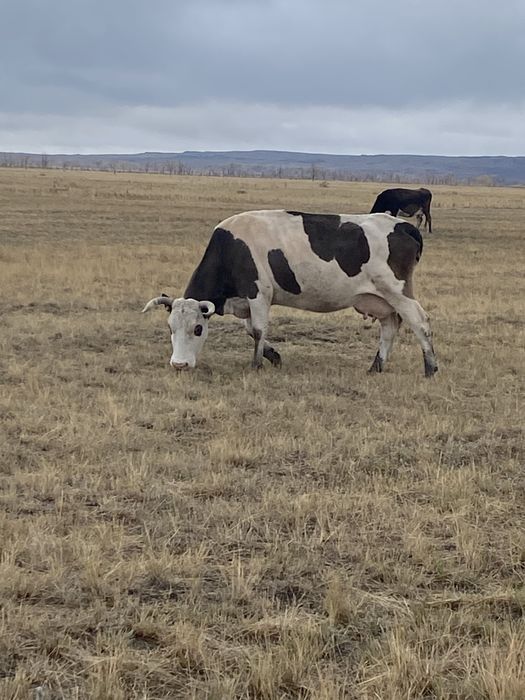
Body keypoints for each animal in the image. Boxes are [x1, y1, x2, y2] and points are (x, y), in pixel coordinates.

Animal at [143, 210, 438, 377]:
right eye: (170, 328)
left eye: (198, 329)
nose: (179, 365)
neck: (232, 247)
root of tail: (404, 225)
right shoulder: (246, 301)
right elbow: (251, 329)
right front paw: (273, 356)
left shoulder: (259, 294)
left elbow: (258, 330)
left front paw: (256, 365)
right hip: (380, 300)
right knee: (390, 327)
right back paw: (376, 367)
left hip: (397, 291)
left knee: (419, 321)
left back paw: (430, 367)